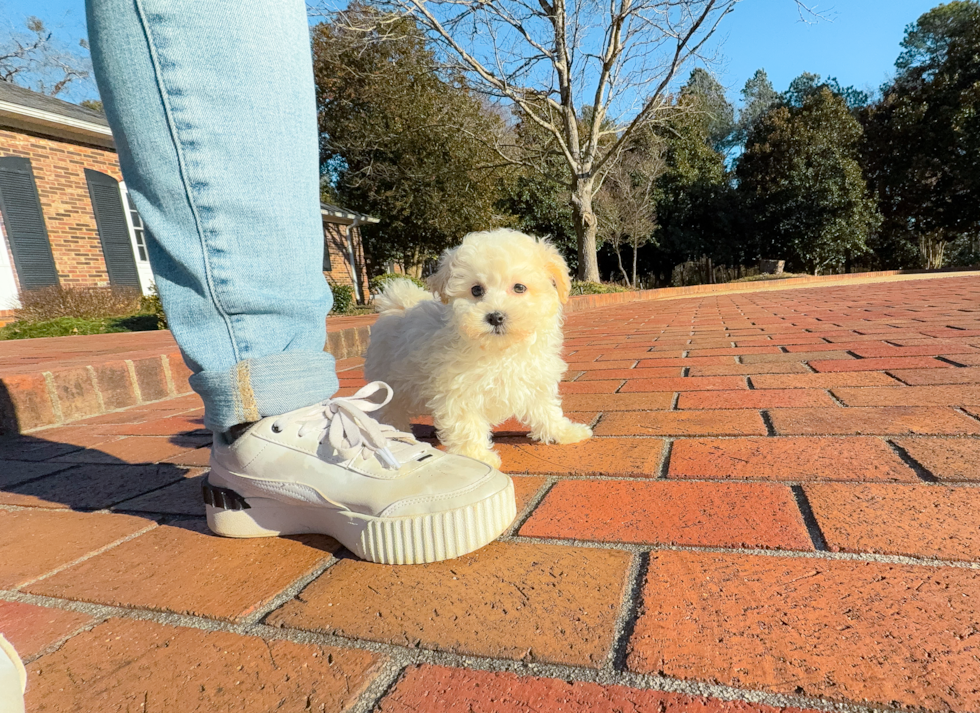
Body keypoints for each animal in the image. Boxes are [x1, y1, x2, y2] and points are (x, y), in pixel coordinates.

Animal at [366, 228, 588, 468]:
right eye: (476, 290)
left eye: (519, 287)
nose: (495, 316)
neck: (501, 351)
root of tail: (396, 305)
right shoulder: (458, 391)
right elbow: (466, 424)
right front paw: (476, 456)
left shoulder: (534, 379)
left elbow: (547, 409)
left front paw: (564, 432)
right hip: (389, 384)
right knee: (389, 412)